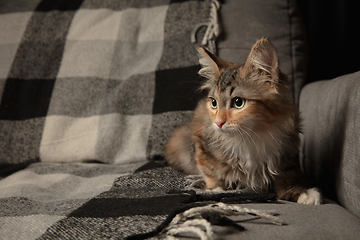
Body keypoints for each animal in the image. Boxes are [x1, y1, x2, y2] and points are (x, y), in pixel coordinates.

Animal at [165, 38, 320, 205]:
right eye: (214, 103)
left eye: (238, 102)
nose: (218, 123)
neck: (253, 136)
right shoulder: (200, 140)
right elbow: (210, 173)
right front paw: (216, 189)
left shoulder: (287, 157)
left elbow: (289, 179)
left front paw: (304, 193)